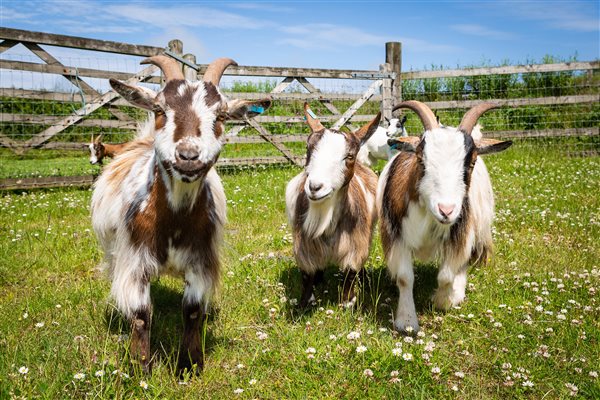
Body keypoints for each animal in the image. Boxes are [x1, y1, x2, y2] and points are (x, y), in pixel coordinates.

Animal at [91, 54, 272, 374]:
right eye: (160, 109)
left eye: (221, 116)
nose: (188, 156)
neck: (173, 222)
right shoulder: (135, 260)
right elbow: (141, 314)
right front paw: (141, 369)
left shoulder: (200, 259)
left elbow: (192, 310)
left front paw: (190, 365)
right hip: (114, 251)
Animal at [286, 102, 380, 306]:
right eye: (308, 148)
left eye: (349, 156)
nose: (315, 187)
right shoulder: (304, 242)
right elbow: (307, 274)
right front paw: (305, 302)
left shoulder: (355, 243)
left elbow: (350, 272)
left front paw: (347, 302)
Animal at [380, 101, 510, 332]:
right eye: (421, 159)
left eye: (471, 162)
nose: (446, 210)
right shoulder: (396, 235)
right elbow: (405, 278)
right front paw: (406, 321)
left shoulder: (459, 233)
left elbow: (447, 275)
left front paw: (444, 299)